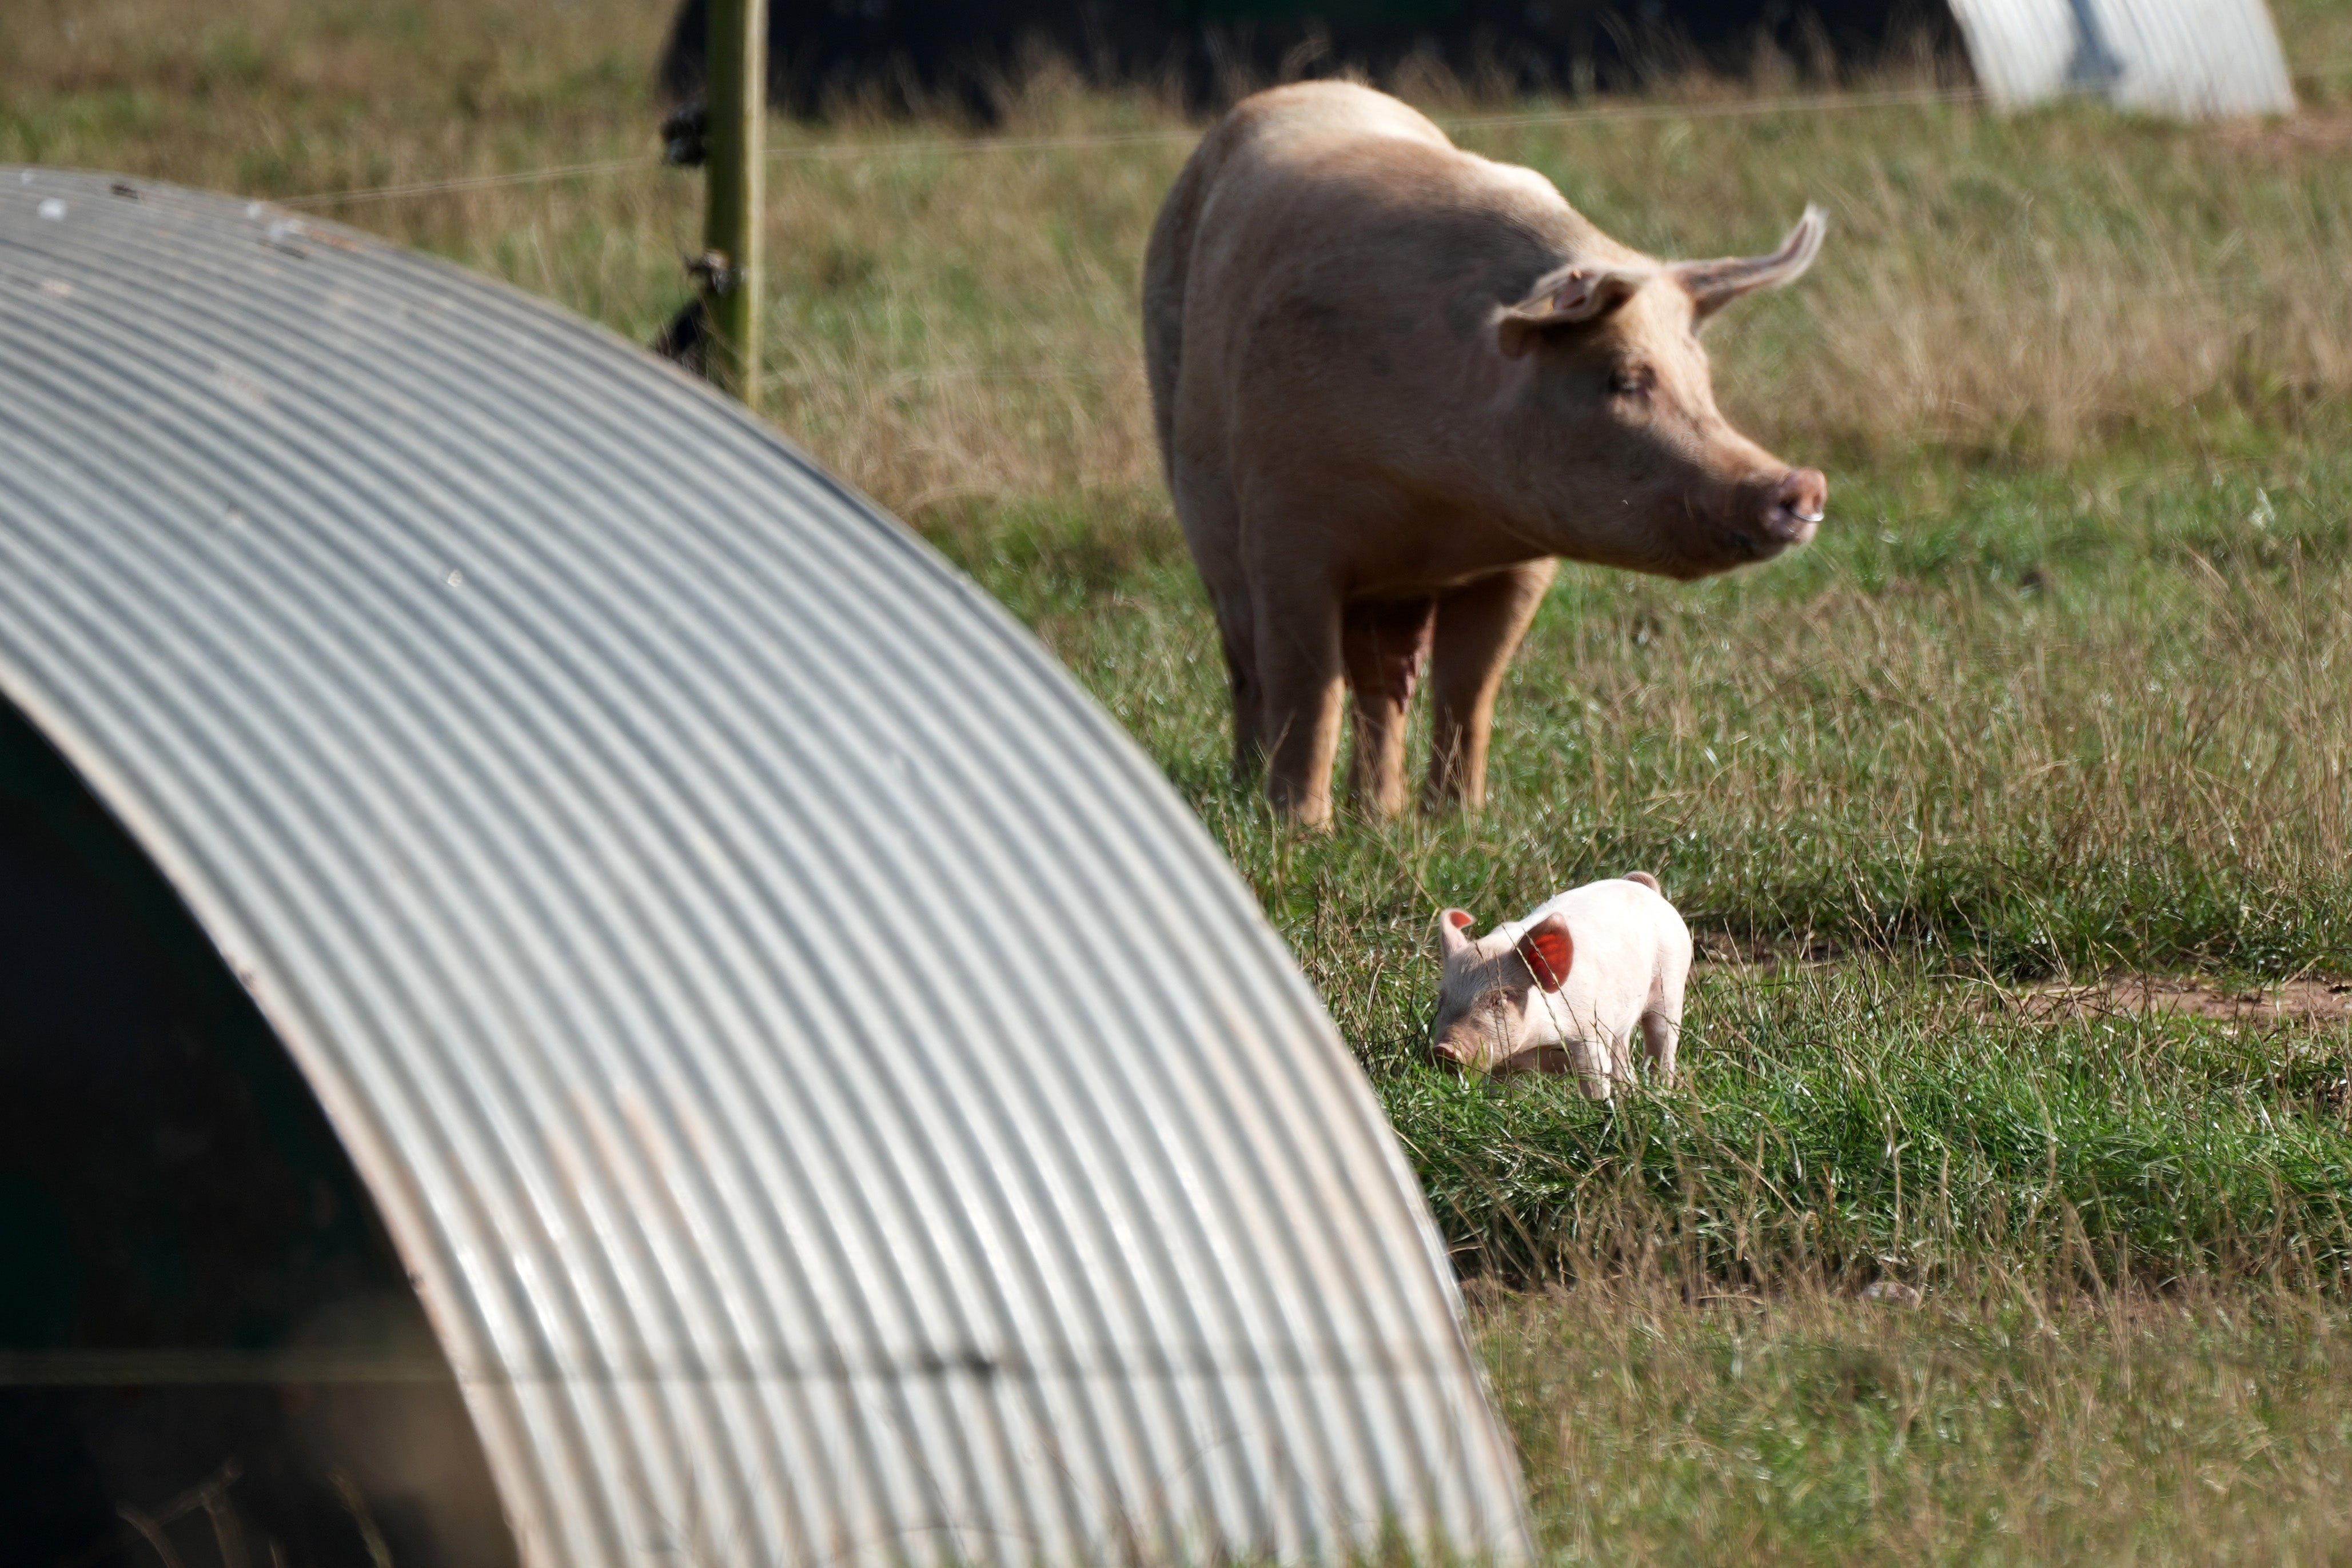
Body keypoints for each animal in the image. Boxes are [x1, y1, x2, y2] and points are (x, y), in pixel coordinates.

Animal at [1144, 81, 1829, 828]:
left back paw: (1379, 812)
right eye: (1623, 379)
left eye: (1700, 377)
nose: (1802, 483)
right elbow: (1306, 683)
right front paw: (1300, 829)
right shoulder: (1285, 528)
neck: (1438, 504)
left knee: (1384, 679)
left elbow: (1470, 687)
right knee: (1248, 665)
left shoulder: (1519, 560)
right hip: (1200, 501)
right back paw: (1254, 794)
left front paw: (1459, 820)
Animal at [1432, 872, 1692, 1098]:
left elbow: (1596, 1081)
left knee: (1663, 1045)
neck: (1538, 1046)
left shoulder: (1590, 1034)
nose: (1443, 1049)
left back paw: (1661, 1095)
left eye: (1499, 999)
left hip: (1672, 984)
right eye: (1442, 999)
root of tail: (1649, 889)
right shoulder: (1502, 1064)